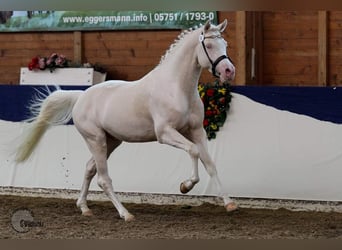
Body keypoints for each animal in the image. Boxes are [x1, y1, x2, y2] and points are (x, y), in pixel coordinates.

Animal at [15, 20, 235, 222]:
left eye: (224, 43)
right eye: (209, 45)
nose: (229, 71)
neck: (176, 88)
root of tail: (81, 96)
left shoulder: (196, 131)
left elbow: (210, 164)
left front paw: (229, 203)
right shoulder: (165, 133)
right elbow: (193, 151)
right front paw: (185, 186)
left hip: (111, 141)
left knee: (89, 168)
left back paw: (84, 207)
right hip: (96, 140)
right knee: (103, 179)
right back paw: (125, 214)